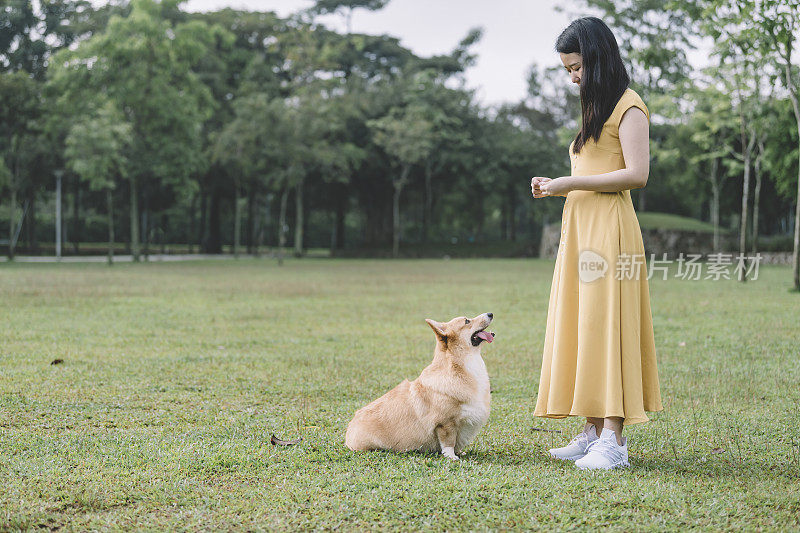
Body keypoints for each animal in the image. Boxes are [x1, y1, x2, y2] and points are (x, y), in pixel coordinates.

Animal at [344, 312, 494, 458]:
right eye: (467, 321)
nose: (491, 313)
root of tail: (349, 429)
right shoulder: (445, 423)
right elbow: (448, 442)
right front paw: (451, 457)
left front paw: (459, 453)